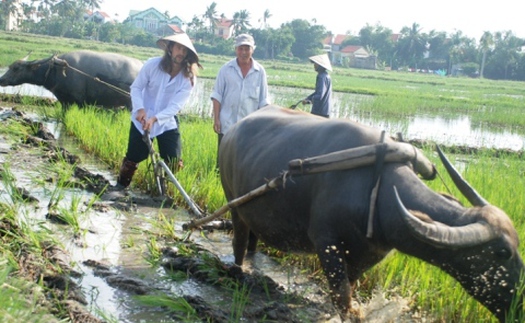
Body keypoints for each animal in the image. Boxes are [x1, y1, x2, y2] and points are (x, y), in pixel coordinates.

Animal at [0, 49, 143, 109]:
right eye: (10, 66)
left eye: (16, 68)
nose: (1, 80)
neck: (56, 69)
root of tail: (141, 65)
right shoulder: (64, 101)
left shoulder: (79, 101)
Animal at [218, 105, 524, 322]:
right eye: (502, 253)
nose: (519, 303)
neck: (376, 190)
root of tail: (233, 130)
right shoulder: (326, 242)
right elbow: (341, 295)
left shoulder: (367, 254)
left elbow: (349, 291)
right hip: (233, 201)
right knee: (239, 240)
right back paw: (238, 271)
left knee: (253, 238)